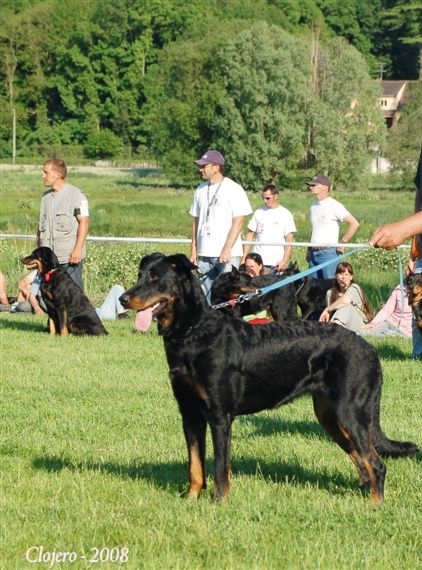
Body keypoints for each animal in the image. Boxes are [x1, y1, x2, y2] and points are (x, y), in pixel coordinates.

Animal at [119, 252, 418, 502]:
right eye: (140, 275)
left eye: (155, 278)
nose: (123, 299)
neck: (193, 332)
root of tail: (369, 349)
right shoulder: (189, 412)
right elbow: (195, 465)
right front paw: (191, 500)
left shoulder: (219, 416)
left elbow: (219, 468)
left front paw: (218, 504)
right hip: (331, 416)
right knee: (363, 460)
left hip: (350, 412)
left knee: (376, 464)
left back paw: (375, 506)